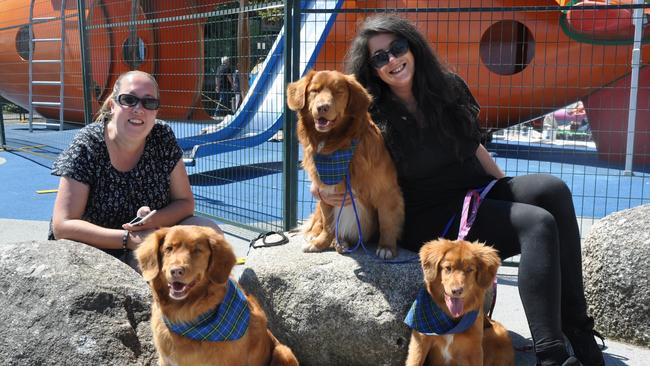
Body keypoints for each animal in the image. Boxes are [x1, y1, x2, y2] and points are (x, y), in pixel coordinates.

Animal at [138, 226, 300, 366]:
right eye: (168, 249)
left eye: (197, 250)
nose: (176, 271)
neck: (187, 317)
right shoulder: (165, 361)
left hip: (284, 352)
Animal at [286, 70, 402, 258]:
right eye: (314, 91)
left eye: (338, 91)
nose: (322, 107)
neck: (336, 144)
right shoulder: (325, 192)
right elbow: (328, 223)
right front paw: (320, 243)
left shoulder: (386, 190)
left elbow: (387, 220)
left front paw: (387, 247)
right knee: (318, 223)